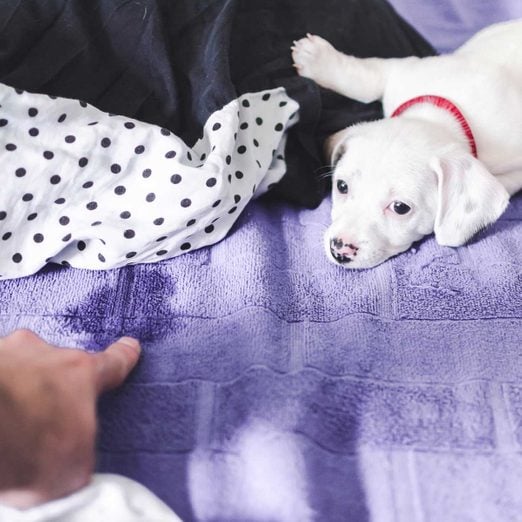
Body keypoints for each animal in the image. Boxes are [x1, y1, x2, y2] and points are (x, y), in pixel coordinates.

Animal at [288, 19, 520, 268]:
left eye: (400, 208)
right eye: (341, 186)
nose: (339, 249)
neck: (439, 116)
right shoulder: (403, 71)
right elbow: (369, 80)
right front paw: (321, 60)